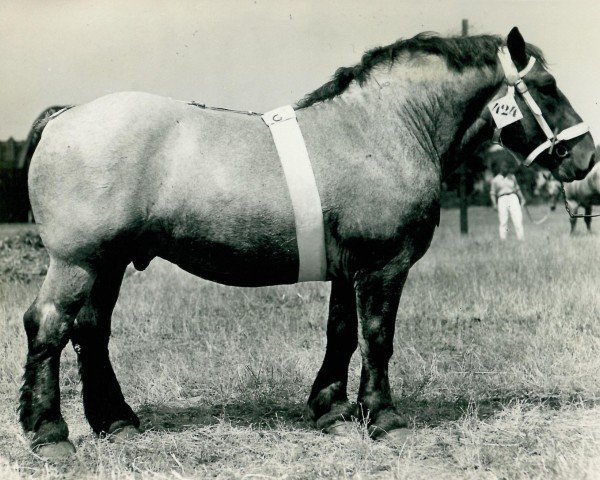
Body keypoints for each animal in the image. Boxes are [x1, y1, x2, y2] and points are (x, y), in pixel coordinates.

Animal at [18, 27, 596, 458]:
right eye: (547, 85)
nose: (586, 156)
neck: (383, 127)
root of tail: (67, 116)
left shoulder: (349, 269)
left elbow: (341, 334)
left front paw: (332, 411)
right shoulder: (384, 267)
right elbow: (377, 338)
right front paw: (384, 418)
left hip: (108, 263)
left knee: (90, 331)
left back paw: (116, 421)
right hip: (78, 261)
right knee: (48, 325)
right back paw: (49, 434)